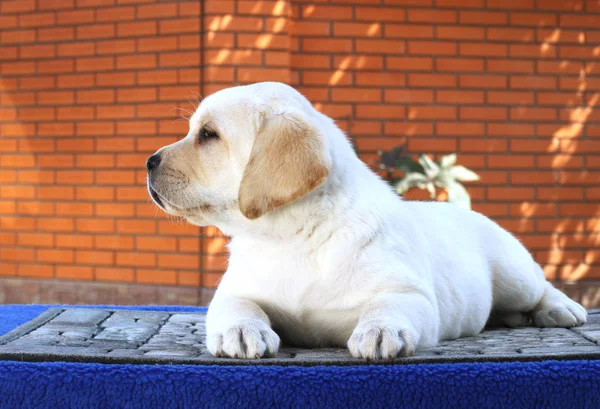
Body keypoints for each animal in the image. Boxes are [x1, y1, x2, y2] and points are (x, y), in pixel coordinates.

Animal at [146, 81, 584, 358]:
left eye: (208, 135)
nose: (149, 162)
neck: (292, 236)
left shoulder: (412, 294)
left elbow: (386, 305)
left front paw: (380, 331)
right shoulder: (234, 291)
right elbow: (238, 306)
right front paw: (241, 331)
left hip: (513, 273)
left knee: (541, 285)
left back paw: (561, 310)